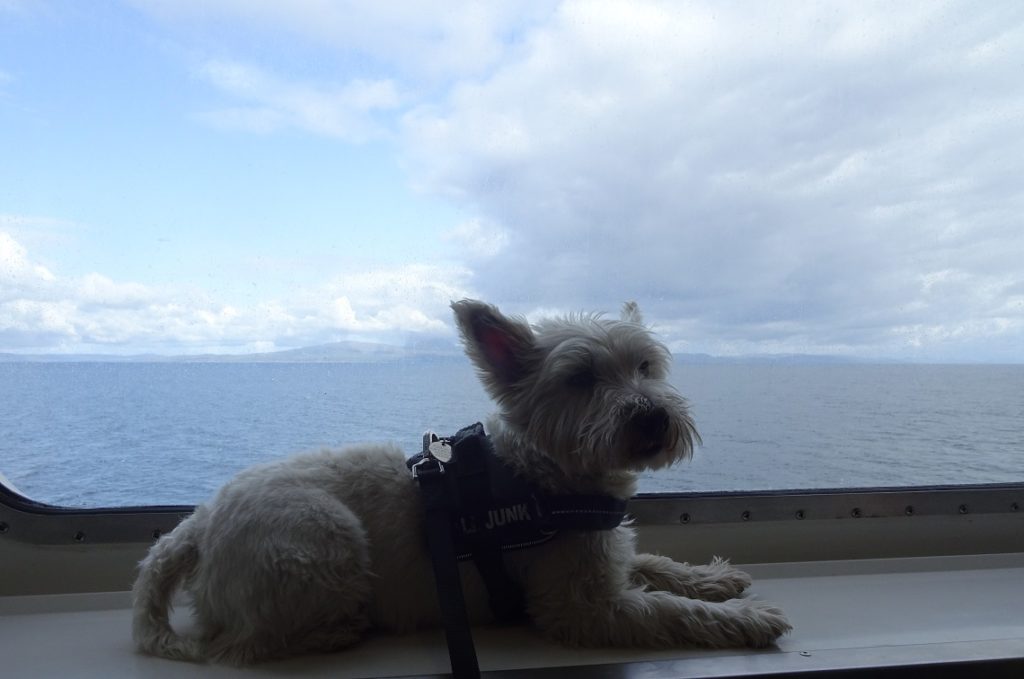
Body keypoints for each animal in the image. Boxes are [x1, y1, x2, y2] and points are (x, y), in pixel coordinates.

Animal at [132, 301, 786, 667]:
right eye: (579, 378)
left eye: (645, 366)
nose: (652, 417)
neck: (544, 474)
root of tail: (195, 527)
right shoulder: (582, 607)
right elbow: (668, 610)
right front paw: (749, 619)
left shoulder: (605, 555)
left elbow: (653, 564)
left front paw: (715, 579)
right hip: (323, 538)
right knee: (243, 645)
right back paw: (337, 628)